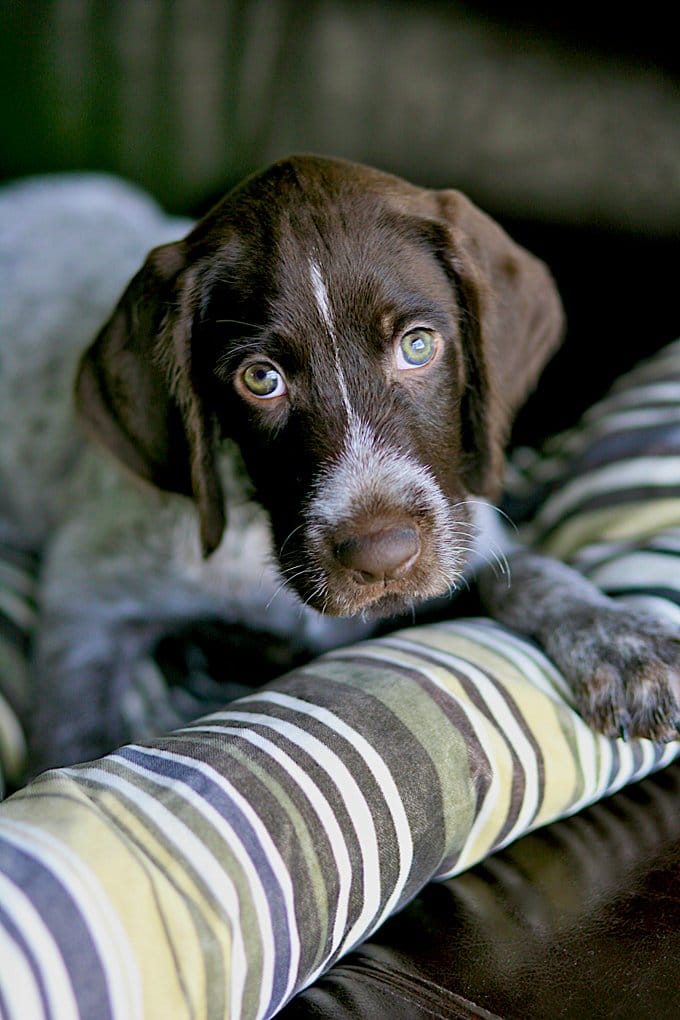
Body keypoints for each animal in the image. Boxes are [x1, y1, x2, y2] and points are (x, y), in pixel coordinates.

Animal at [13, 157, 676, 767]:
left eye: (418, 345)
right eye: (260, 379)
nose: (382, 557)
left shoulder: (461, 537)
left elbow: (529, 573)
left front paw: (622, 643)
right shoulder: (87, 590)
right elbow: (76, 721)